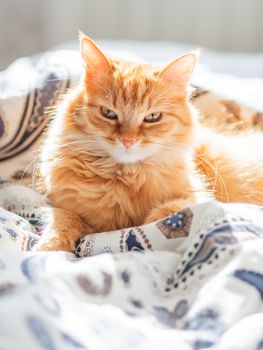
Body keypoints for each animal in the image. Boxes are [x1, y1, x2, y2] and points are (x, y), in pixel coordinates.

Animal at [35, 33, 263, 252]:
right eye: (108, 113)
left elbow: (162, 214)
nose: (127, 140)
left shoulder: (195, 198)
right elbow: (62, 224)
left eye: (152, 117)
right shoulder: (65, 207)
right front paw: (47, 247)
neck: (125, 178)